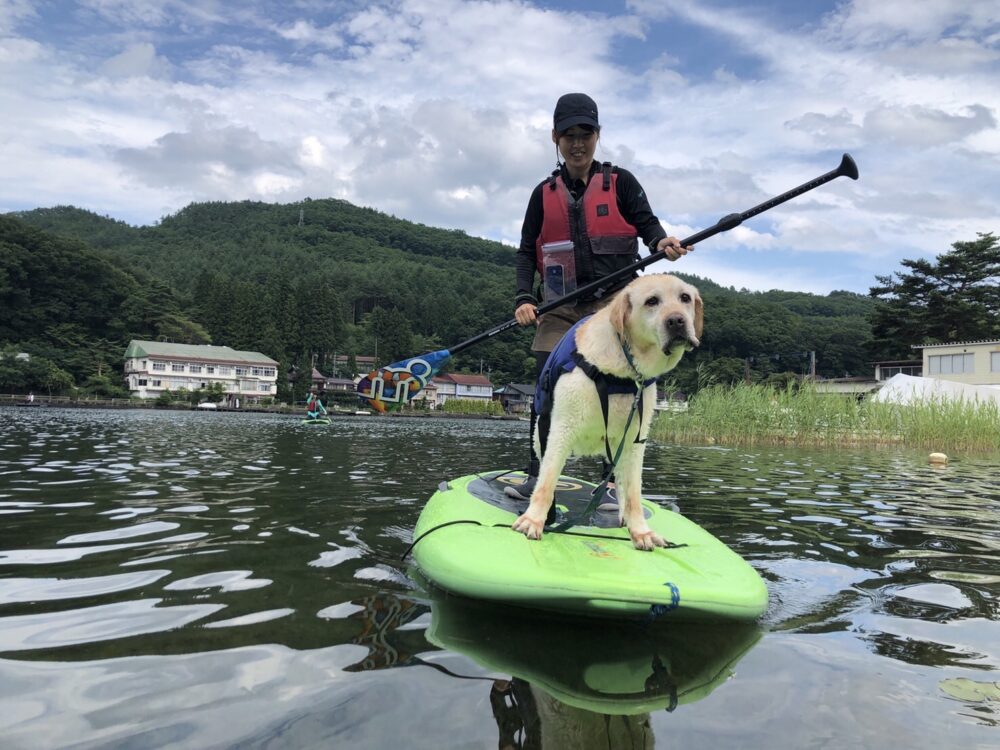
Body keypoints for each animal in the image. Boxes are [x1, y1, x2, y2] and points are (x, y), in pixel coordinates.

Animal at [512, 276, 700, 552]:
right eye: (652, 301)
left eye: (685, 298)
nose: (677, 321)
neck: (620, 372)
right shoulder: (561, 429)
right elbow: (547, 481)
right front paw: (533, 520)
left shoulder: (634, 440)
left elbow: (633, 494)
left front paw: (641, 532)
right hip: (540, 431)